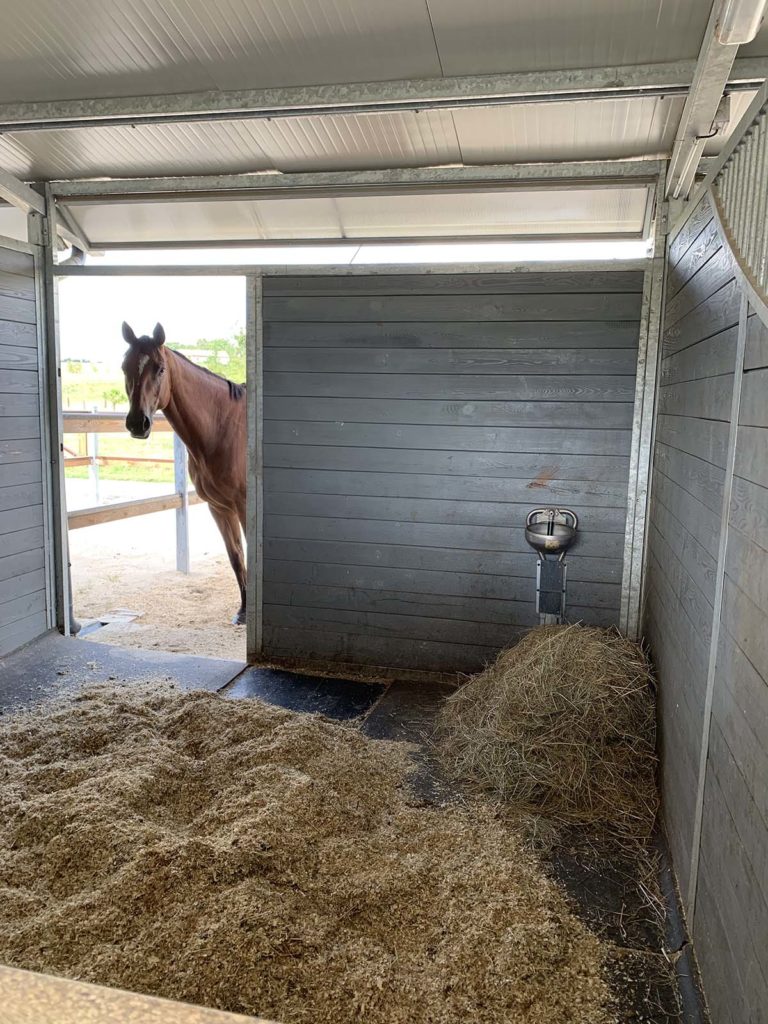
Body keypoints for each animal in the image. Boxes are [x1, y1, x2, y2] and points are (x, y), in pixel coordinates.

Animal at [120, 321, 248, 625]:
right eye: (124, 367)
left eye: (160, 369)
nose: (137, 423)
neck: (225, 427)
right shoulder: (219, 507)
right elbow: (236, 557)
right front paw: (244, 611)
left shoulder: (245, 507)